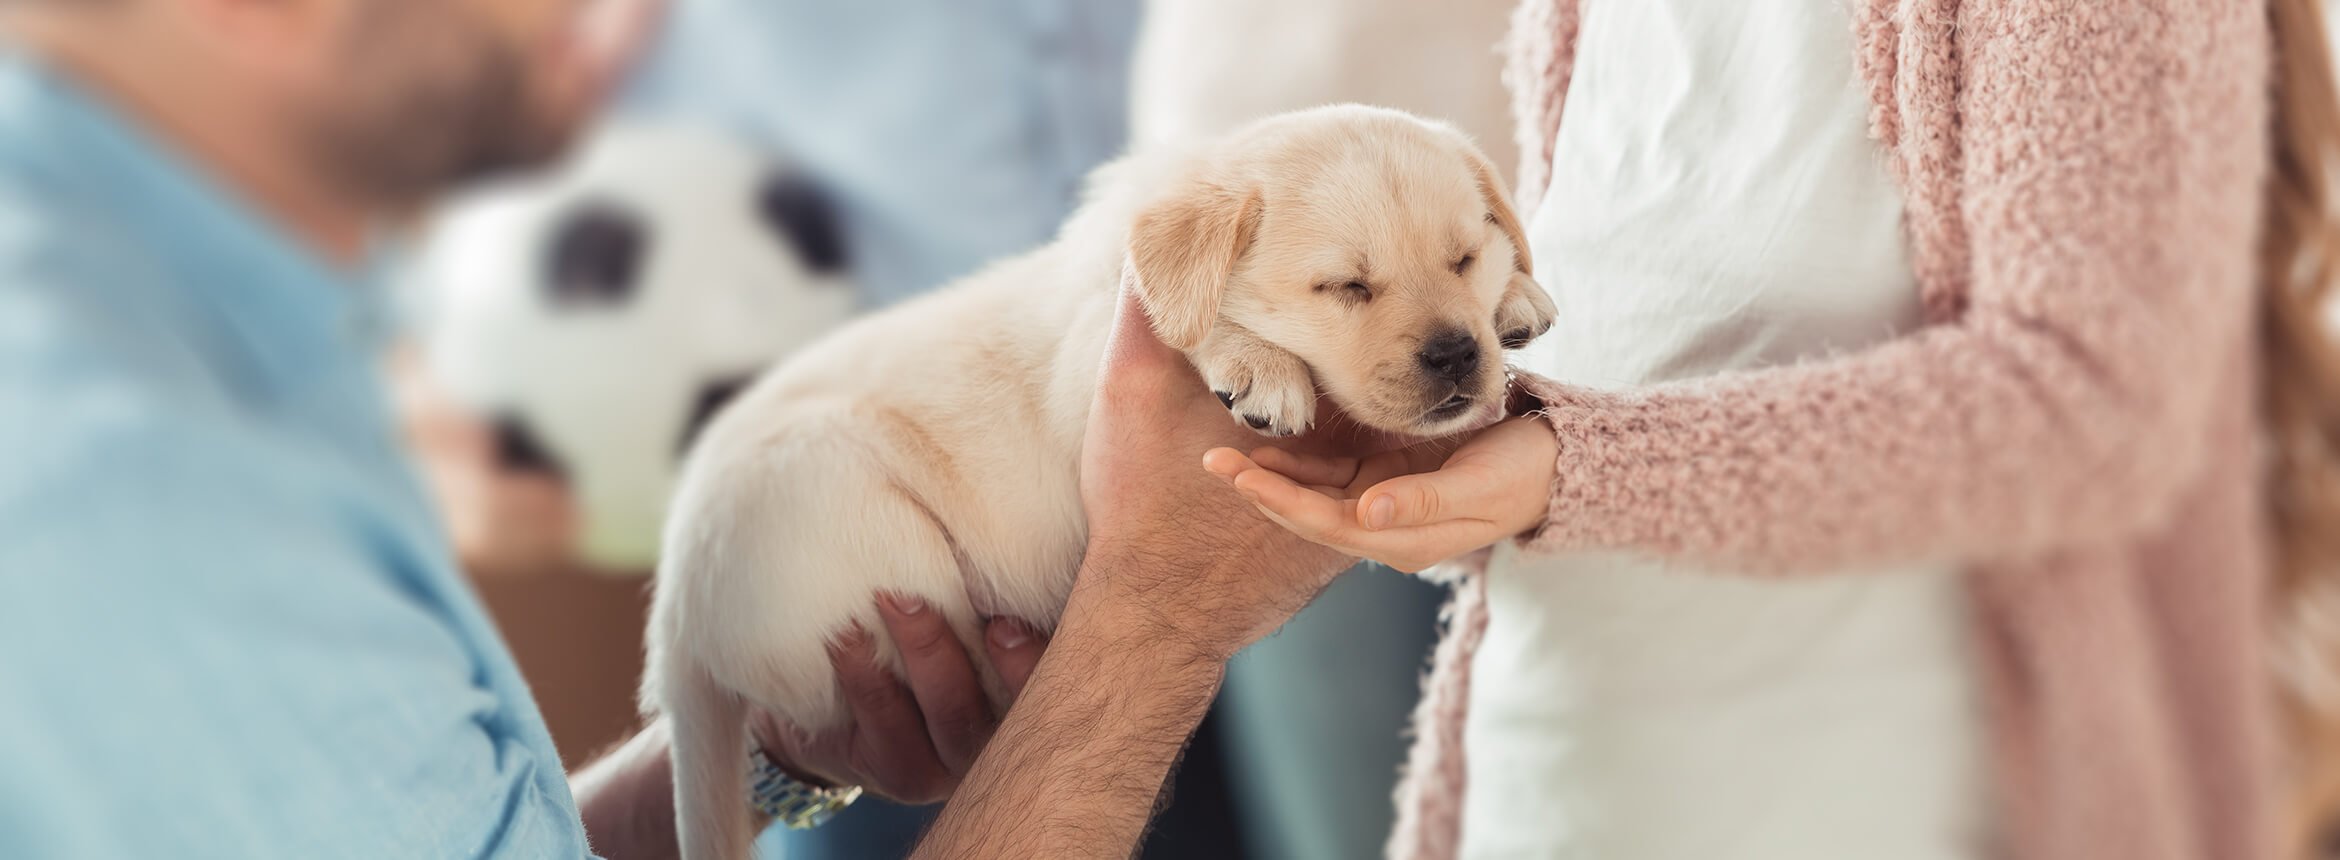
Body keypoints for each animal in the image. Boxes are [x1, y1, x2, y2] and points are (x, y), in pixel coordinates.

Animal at [641, 105, 1553, 860]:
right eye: (1346, 287)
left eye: (1464, 259)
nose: (1456, 354)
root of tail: (677, 621)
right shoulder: (1094, 369)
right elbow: (1189, 324)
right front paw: (1254, 363)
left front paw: (1519, 296)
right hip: (858, 531)